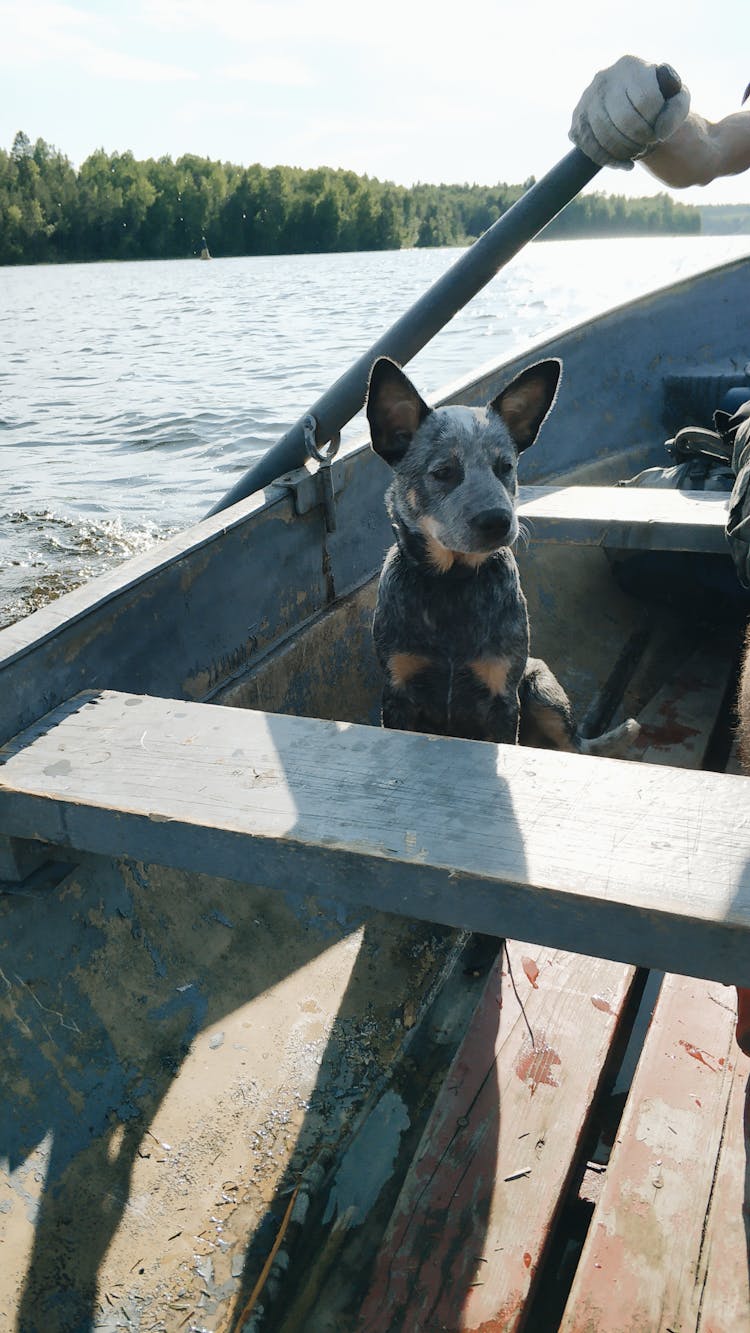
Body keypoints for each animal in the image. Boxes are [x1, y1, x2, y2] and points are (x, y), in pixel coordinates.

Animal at [367, 357, 636, 762]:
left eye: (505, 467)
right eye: (443, 472)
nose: (498, 520)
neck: (451, 587)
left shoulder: (502, 697)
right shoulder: (397, 690)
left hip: (541, 690)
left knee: (574, 746)